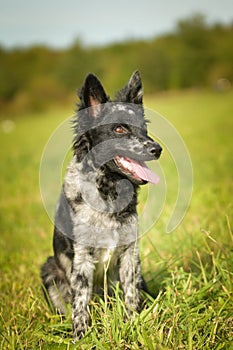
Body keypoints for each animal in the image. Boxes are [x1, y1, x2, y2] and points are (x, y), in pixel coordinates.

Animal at [41, 71, 162, 342]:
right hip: (49, 269)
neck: (108, 193)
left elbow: (131, 295)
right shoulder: (82, 259)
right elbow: (80, 302)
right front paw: (81, 336)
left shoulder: (130, 254)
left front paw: (132, 324)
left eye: (145, 129)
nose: (157, 149)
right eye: (119, 128)